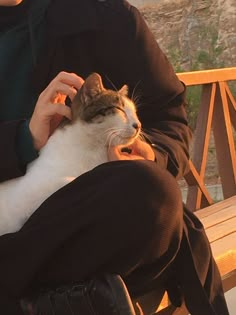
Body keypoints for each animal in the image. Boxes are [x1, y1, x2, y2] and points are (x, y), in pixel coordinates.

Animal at [0, 73, 140, 236]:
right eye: (119, 109)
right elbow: (72, 180)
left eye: (135, 113)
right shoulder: (23, 196)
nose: (138, 125)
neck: (93, 150)